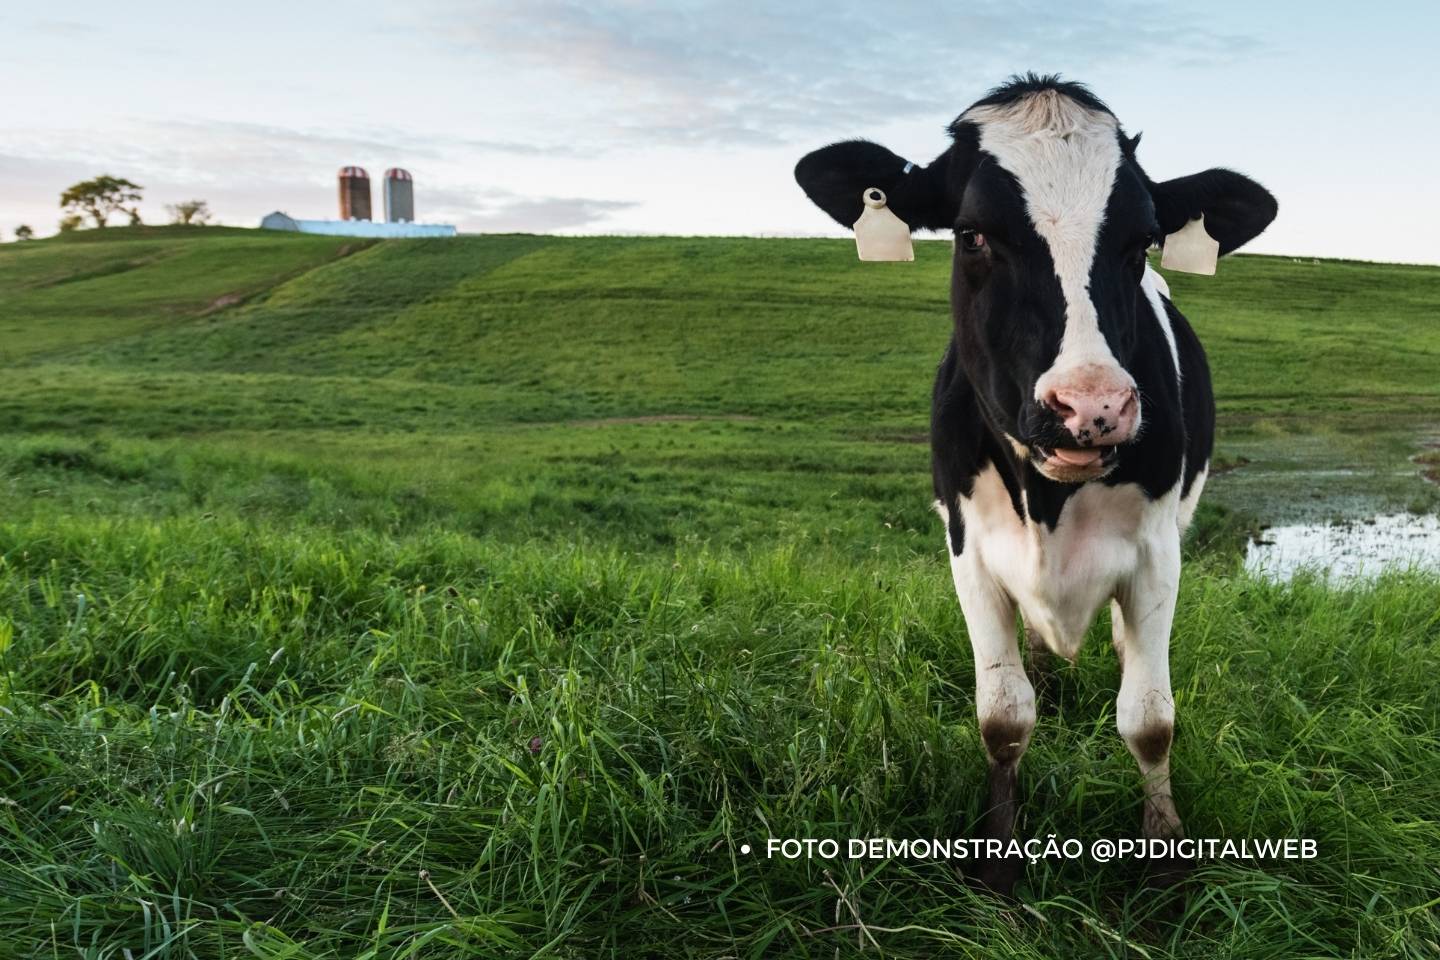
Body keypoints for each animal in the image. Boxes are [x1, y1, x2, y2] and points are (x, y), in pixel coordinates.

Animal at [794, 75, 1278, 892]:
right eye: (972, 235)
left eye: (1141, 240)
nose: (1092, 408)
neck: (1051, 498)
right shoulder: (968, 549)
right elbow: (1002, 714)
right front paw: (1000, 860)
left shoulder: (1158, 552)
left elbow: (1150, 718)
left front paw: (1164, 852)